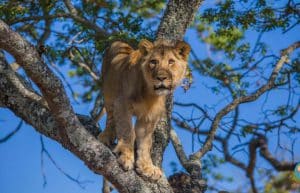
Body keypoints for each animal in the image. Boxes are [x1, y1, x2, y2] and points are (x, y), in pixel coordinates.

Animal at [99, 38, 191, 180]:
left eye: (171, 62)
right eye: (153, 62)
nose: (161, 78)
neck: (150, 93)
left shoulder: (149, 117)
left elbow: (145, 143)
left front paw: (146, 167)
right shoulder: (122, 104)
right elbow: (127, 132)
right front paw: (126, 157)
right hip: (109, 92)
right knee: (110, 117)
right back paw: (106, 136)